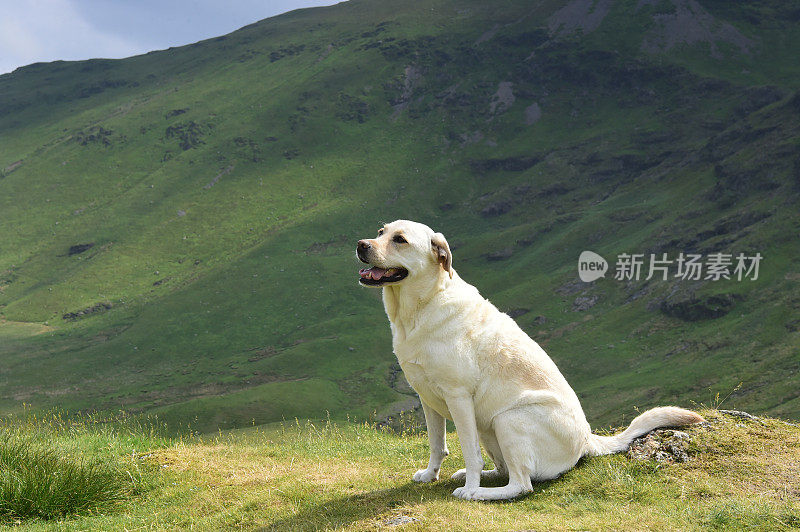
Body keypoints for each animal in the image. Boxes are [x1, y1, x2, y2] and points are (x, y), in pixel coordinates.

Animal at [356, 219, 700, 498]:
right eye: (381, 232)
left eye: (400, 239)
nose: (361, 245)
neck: (421, 307)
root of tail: (587, 440)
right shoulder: (427, 398)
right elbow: (437, 444)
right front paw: (430, 475)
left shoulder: (458, 397)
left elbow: (469, 451)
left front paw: (468, 487)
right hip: (489, 426)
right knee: (505, 471)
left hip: (508, 419)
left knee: (521, 485)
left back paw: (478, 492)